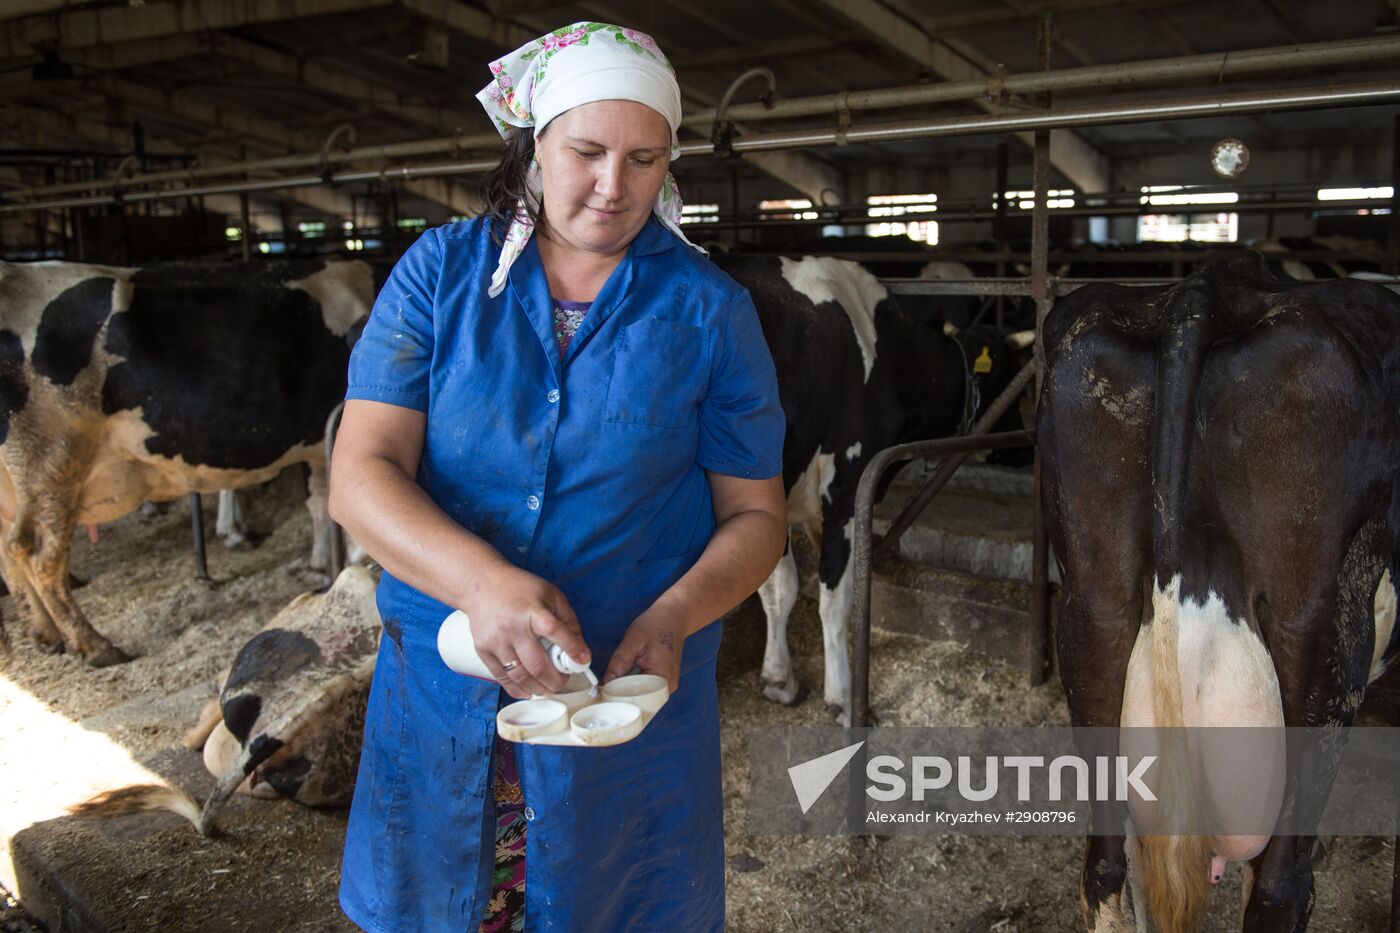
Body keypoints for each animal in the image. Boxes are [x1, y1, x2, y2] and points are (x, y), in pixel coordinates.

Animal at [0, 256, 372, 661]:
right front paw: (349, 559)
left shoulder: (318, 443)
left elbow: (319, 503)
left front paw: (321, 563)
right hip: (52, 461)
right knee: (37, 552)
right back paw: (93, 644)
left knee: (9, 551)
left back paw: (44, 634)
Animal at [711, 256, 1030, 728]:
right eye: (1009, 377)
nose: (1025, 450)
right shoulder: (845, 486)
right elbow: (835, 600)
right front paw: (844, 700)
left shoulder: (776, 489)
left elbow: (779, 587)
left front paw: (780, 680)